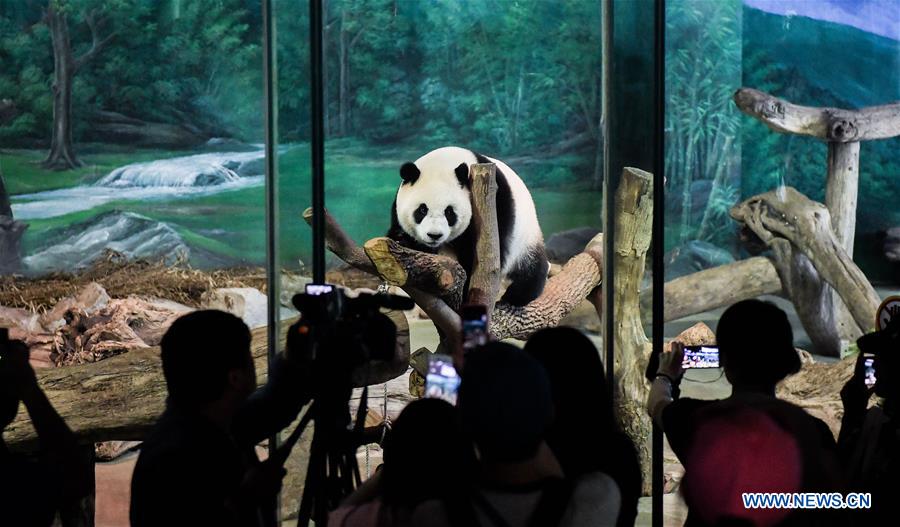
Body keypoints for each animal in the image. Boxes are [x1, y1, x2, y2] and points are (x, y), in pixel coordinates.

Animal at [386, 146, 548, 308]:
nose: (434, 235)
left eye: (449, 212)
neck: (447, 161)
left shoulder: (495, 203)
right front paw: (403, 241)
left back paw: (517, 295)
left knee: (531, 267)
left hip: (526, 236)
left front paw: (465, 292)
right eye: (422, 209)